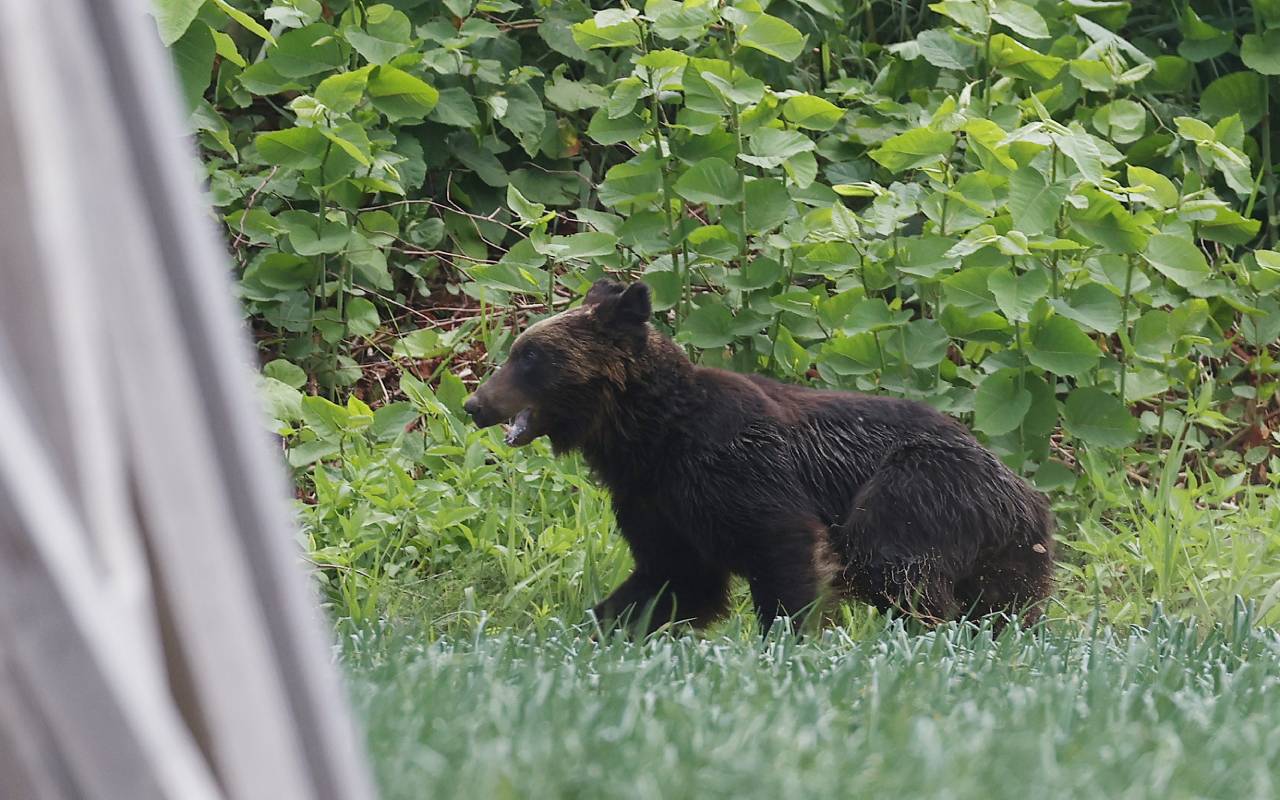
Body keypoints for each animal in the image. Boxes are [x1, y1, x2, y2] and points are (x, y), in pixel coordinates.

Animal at [465, 277, 1054, 632]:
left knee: (892, 563)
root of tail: (1026, 490)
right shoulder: (656, 502)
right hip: (1008, 552)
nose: (474, 403)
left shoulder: (737, 468)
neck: (648, 436)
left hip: (921, 486)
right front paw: (598, 627)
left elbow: (783, 549)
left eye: (530, 356)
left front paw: (786, 639)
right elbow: (671, 579)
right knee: (1005, 605)